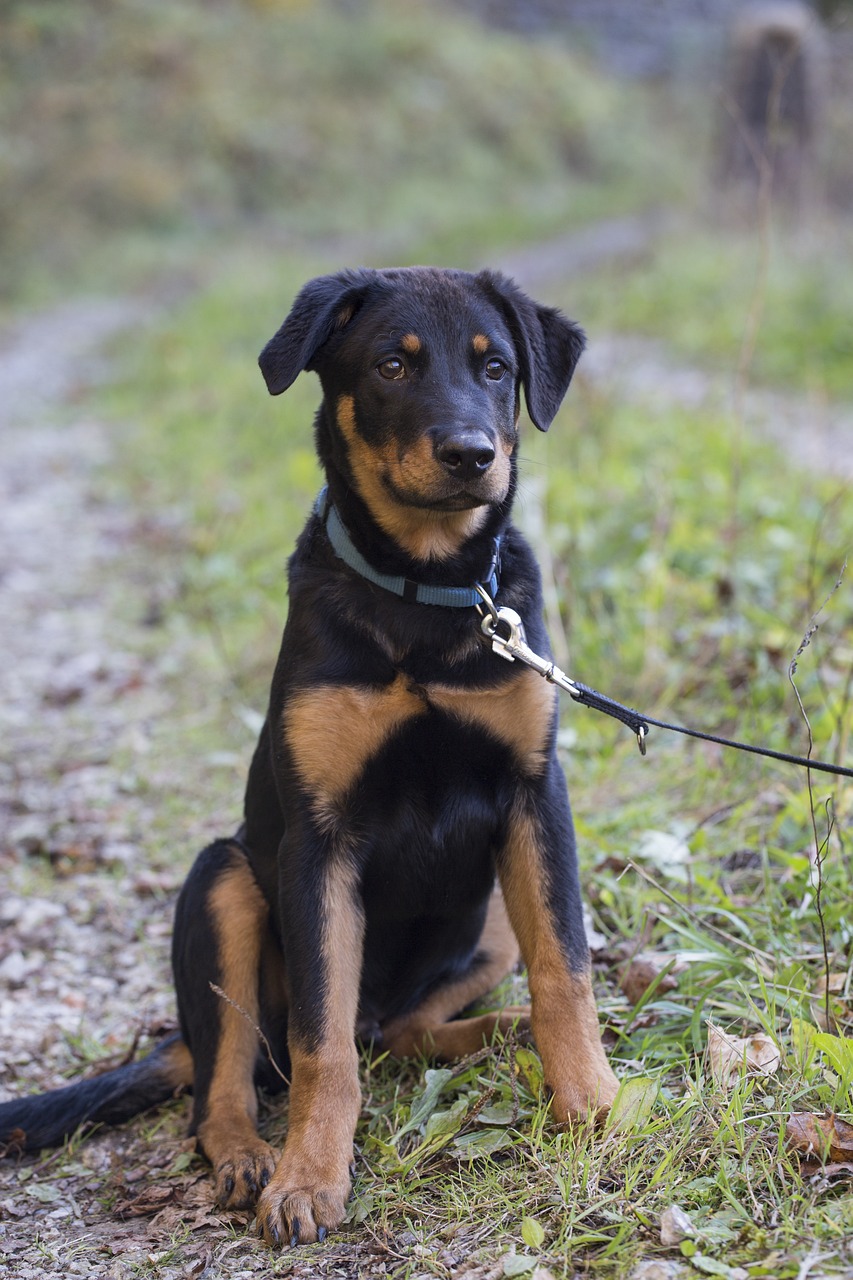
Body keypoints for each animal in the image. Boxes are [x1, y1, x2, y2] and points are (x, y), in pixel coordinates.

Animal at [0, 264, 614, 1244]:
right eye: (393, 364)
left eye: (496, 368)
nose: (471, 455)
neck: (423, 591)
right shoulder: (318, 838)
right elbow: (321, 1042)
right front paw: (309, 1181)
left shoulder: (533, 795)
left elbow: (565, 966)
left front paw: (591, 1101)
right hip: (223, 880)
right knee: (236, 1077)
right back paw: (252, 1158)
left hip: (483, 919)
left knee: (393, 1033)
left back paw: (497, 1031)